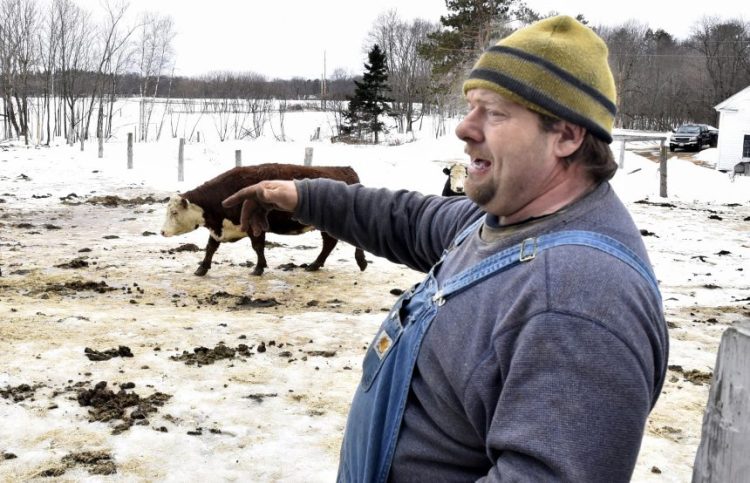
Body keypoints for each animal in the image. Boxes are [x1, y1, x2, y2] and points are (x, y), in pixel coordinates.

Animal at [162, 163, 368, 276]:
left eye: (174, 212)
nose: (162, 231)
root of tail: (346, 170)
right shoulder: (218, 229)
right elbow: (210, 248)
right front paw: (202, 269)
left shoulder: (255, 227)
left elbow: (258, 247)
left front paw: (259, 268)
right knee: (329, 244)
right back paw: (315, 265)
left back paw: (359, 262)